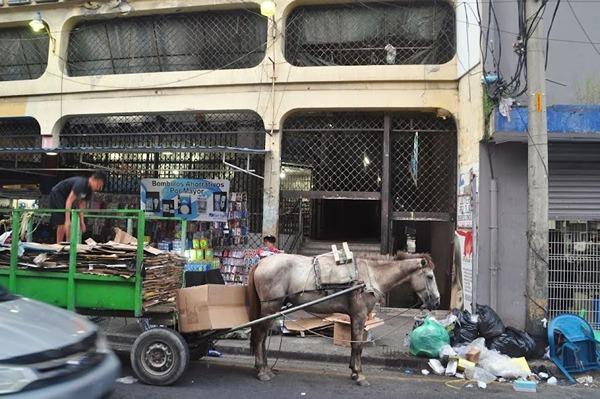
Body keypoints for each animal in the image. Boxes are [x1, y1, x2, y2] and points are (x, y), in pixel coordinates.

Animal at [246, 253, 438, 388]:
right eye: (429, 276)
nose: (436, 301)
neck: (370, 276)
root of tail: (261, 263)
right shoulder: (360, 315)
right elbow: (358, 345)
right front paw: (360, 375)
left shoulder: (354, 316)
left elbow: (353, 344)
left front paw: (353, 371)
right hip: (271, 307)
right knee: (260, 336)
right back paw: (262, 370)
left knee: (261, 337)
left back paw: (264, 367)